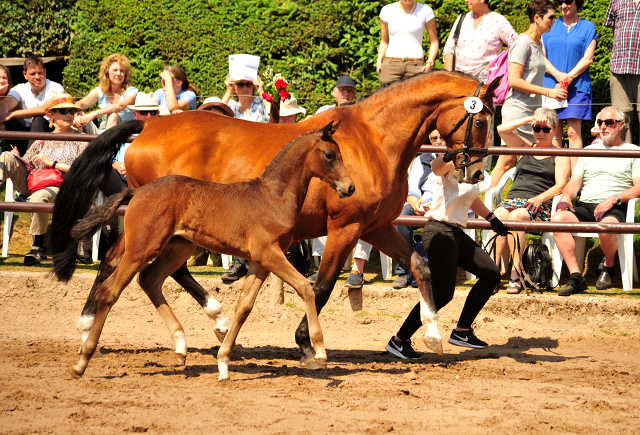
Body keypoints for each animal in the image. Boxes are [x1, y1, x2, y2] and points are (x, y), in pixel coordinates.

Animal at [70, 121, 356, 380]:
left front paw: (223, 363)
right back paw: (82, 360)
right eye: (329, 155)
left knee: (149, 279)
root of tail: (137, 191)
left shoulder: (260, 261)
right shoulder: (268, 253)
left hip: (177, 247)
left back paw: (180, 346)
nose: (350, 187)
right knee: (110, 290)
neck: (273, 197)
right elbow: (306, 287)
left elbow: (244, 306)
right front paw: (319, 352)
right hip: (142, 248)